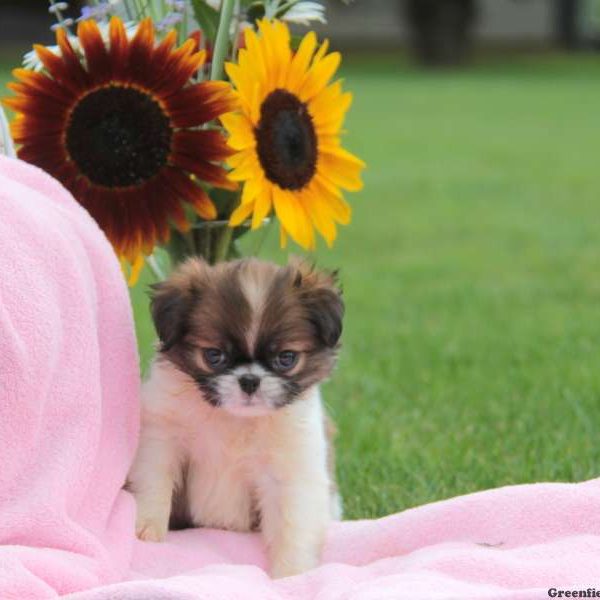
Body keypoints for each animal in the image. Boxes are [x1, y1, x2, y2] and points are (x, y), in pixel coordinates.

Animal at [126, 255, 342, 580]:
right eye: (214, 356)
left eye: (286, 358)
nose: (250, 380)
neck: (234, 419)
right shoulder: (162, 440)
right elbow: (154, 483)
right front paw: (147, 530)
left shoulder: (291, 471)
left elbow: (293, 524)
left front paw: (291, 574)